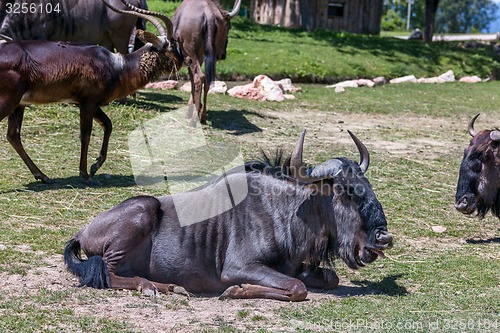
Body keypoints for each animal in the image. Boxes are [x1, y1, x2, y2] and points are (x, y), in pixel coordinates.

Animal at [0, 0, 184, 183]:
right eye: (171, 45)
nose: (182, 60)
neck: (117, 66)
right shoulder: (88, 103)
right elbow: (86, 135)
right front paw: (85, 174)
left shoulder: (87, 103)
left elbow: (108, 125)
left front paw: (95, 166)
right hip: (9, 102)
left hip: (19, 104)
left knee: (13, 135)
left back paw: (43, 176)